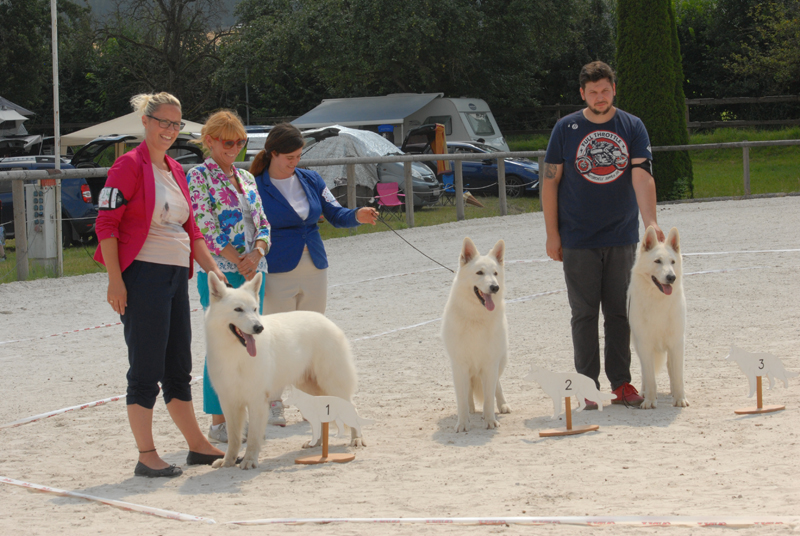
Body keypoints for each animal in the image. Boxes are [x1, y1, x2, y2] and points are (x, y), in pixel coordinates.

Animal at [203, 272, 362, 468]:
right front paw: (228, 462)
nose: (259, 328)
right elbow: (234, 438)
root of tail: (327, 321)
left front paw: (249, 461)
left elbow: (254, 437)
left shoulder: (256, 401)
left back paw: (356, 439)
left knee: (352, 408)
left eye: (254, 309)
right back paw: (316, 443)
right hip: (310, 388)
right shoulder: (229, 401)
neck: (236, 353)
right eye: (238, 309)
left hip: (332, 385)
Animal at [440, 238, 510, 432]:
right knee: (469, 392)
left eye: (495, 273)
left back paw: (501, 405)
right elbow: (462, 399)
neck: (476, 318)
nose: (495, 287)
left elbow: (489, 397)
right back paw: (472, 410)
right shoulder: (459, 365)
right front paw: (463, 423)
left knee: (497, 386)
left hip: (500, 363)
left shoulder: (490, 364)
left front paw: (490, 420)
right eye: (479, 272)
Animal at [624, 224, 688, 408]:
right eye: (657, 261)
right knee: (646, 373)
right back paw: (644, 393)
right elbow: (650, 376)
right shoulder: (645, 344)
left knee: (671, 370)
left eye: (672, 262)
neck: (658, 300)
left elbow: (678, 375)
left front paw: (680, 399)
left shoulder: (676, 342)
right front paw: (650, 401)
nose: (671, 277)